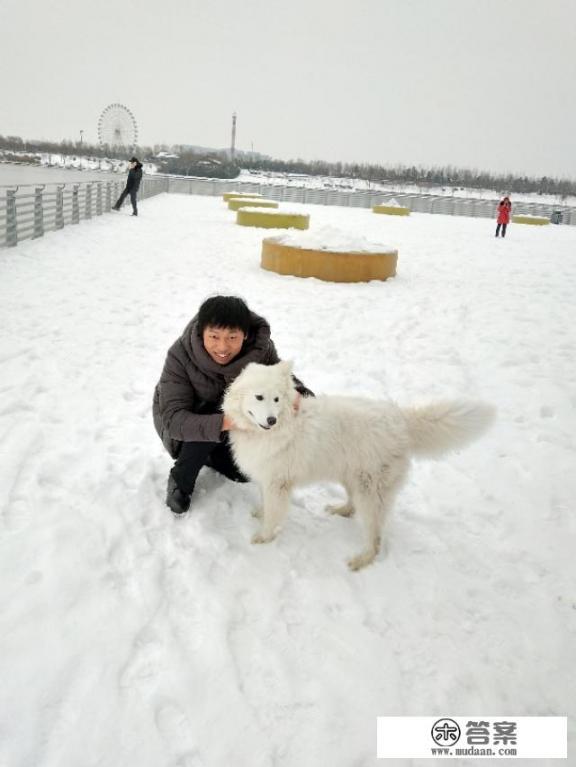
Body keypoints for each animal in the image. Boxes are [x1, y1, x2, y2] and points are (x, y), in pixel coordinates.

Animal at [223, 362, 492, 568]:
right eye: (259, 397)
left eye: (276, 399)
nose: (271, 419)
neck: (280, 427)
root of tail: (401, 420)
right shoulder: (266, 478)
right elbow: (266, 506)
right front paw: (260, 513)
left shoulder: (278, 483)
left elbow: (273, 516)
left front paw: (263, 537)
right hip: (354, 477)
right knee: (353, 506)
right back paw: (340, 511)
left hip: (370, 492)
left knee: (376, 538)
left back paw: (361, 560)